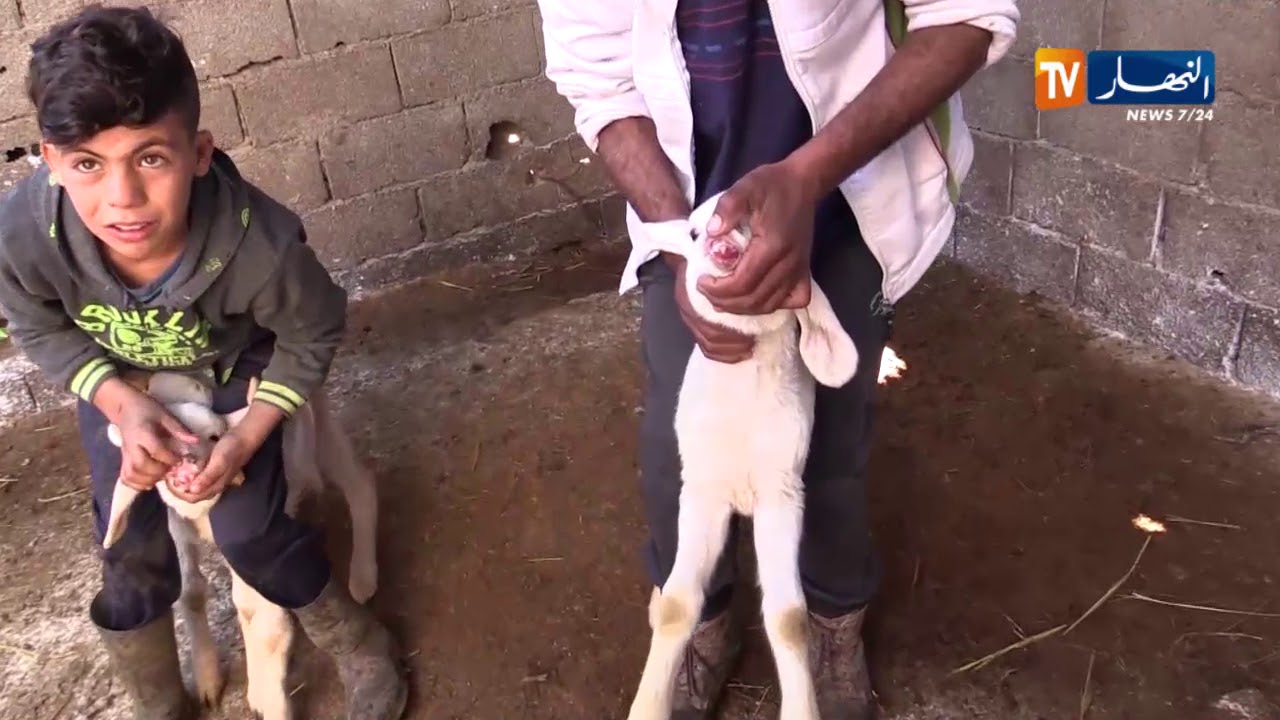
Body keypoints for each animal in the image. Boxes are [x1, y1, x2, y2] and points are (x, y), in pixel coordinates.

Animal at [102, 369, 381, 720]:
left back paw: (363, 577)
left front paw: (269, 700)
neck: (201, 513)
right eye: (163, 435)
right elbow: (190, 593)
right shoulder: (176, 526)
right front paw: (208, 679)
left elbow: (258, 614)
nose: (187, 460)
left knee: (359, 483)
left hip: (317, 423)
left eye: (215, 437)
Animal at [622, 193, 860, 720]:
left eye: (751, 222)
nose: (720, 241)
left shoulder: (782, 492)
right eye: (693, 232)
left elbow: (790, 618)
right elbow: (678, 607)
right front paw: (648, 705)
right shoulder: (702, 490)